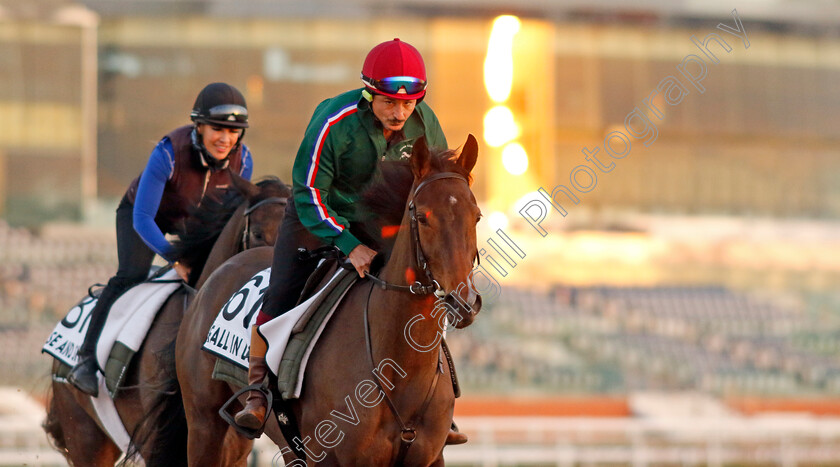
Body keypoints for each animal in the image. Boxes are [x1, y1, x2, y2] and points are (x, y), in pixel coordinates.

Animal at [174, 133, 482, 466]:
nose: (464, 301)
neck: (399, 370)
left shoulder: (429, 457)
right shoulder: (327, 454)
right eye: (423, 217)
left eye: (476, 216)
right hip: (204, 424)